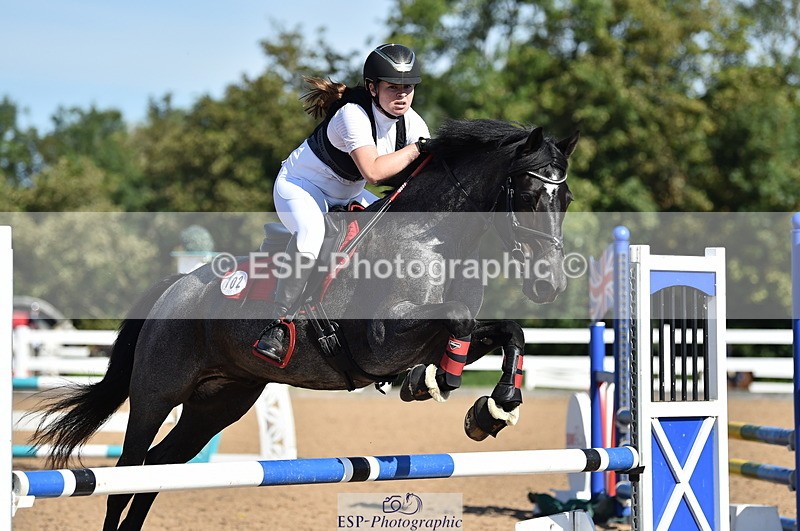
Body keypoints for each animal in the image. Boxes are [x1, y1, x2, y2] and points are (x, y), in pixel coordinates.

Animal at [30, 118, 579, 530]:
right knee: (125, 475)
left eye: (566, 200)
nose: (549, 286)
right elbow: (460, 322)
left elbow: (506, 331)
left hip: (217, 403)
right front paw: (434, 382)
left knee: (158, 471)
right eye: (530, 195)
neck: (434, 238)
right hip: (155, 394)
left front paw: (493, 407)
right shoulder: (381, 340)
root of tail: (175, 288)